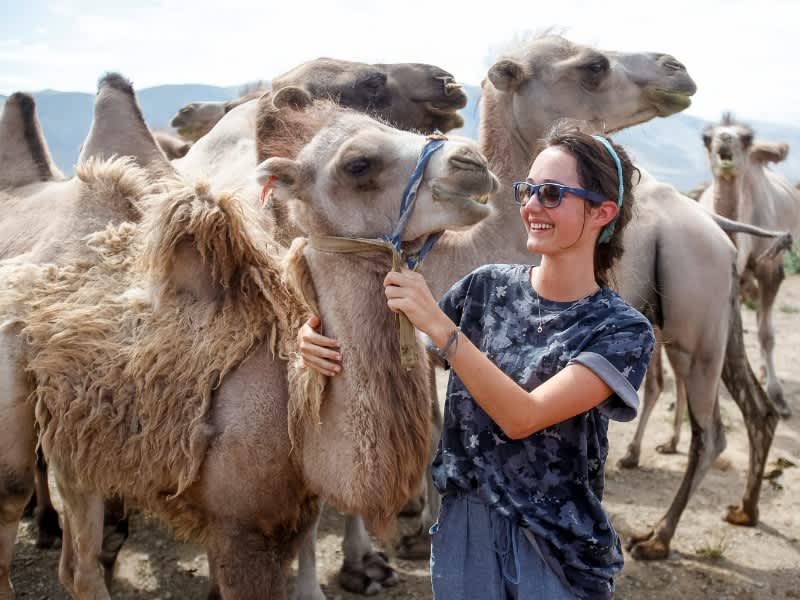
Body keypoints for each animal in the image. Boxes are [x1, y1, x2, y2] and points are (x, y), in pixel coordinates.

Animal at [0, 89, 497, 600]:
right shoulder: (238, 526)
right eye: (357, 164)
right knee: (30, 512)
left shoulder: (290, 513)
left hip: (79, 446)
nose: (472, 161)